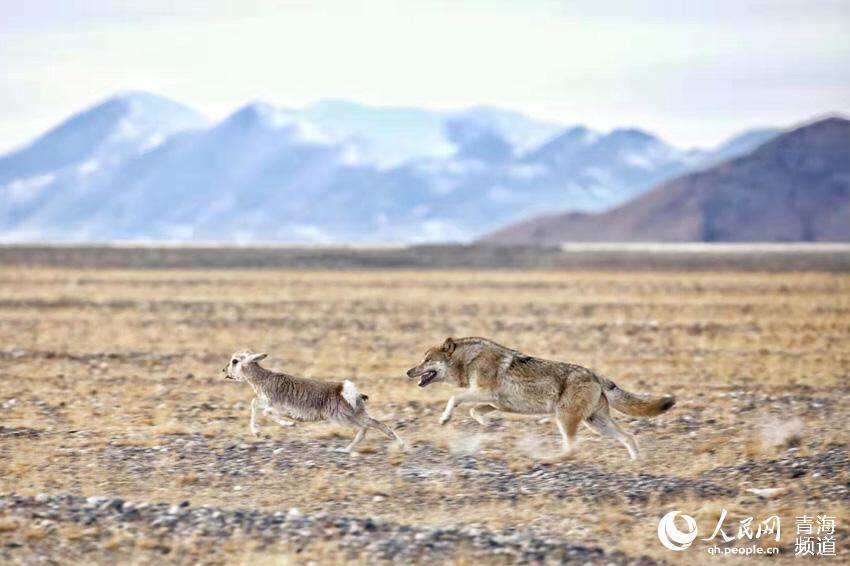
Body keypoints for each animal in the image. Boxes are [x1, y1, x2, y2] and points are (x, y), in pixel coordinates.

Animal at [222, 350, 400, 458]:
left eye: (235, 361)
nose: (224, 371)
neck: (263, 378)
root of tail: (346, 390)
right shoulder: (264, 402)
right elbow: (254, 404)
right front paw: (257, 433)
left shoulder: (275, 407)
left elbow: (266, 412)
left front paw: (289, 424)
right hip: (356, 415)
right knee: (379, 424)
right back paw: (400, 445)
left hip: (343, 419)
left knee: (364, 429)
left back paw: (346, 449)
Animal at [406, 338, 676, 462]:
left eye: (427, 360)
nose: (408, 372)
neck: (469, 360)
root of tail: (595, 374)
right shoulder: (496, 402)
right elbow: (475, 411)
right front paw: (485, 424)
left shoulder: (483, 393)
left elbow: (455, 397)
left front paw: (445, 418)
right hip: (596, 424)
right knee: (628, 436)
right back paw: (635, 461)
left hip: (565, 419)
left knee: (572, 447)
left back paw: (553, 459)